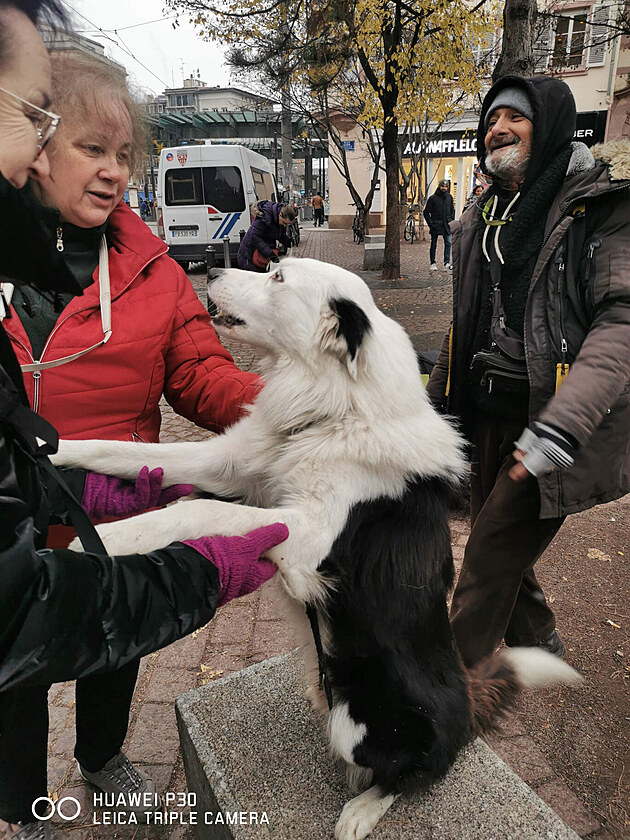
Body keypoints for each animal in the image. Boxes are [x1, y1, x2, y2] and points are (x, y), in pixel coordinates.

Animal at [51, 260, 580, 836]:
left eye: (278, 277)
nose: (210, 269)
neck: (333, 405)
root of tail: (467, 699)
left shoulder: (307, 536)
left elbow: (201, 511)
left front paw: (108, 536)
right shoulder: (230, 463)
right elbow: (121, 451)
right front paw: (51, 449)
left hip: (365, 724)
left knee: (418, 773)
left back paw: (361, 810)